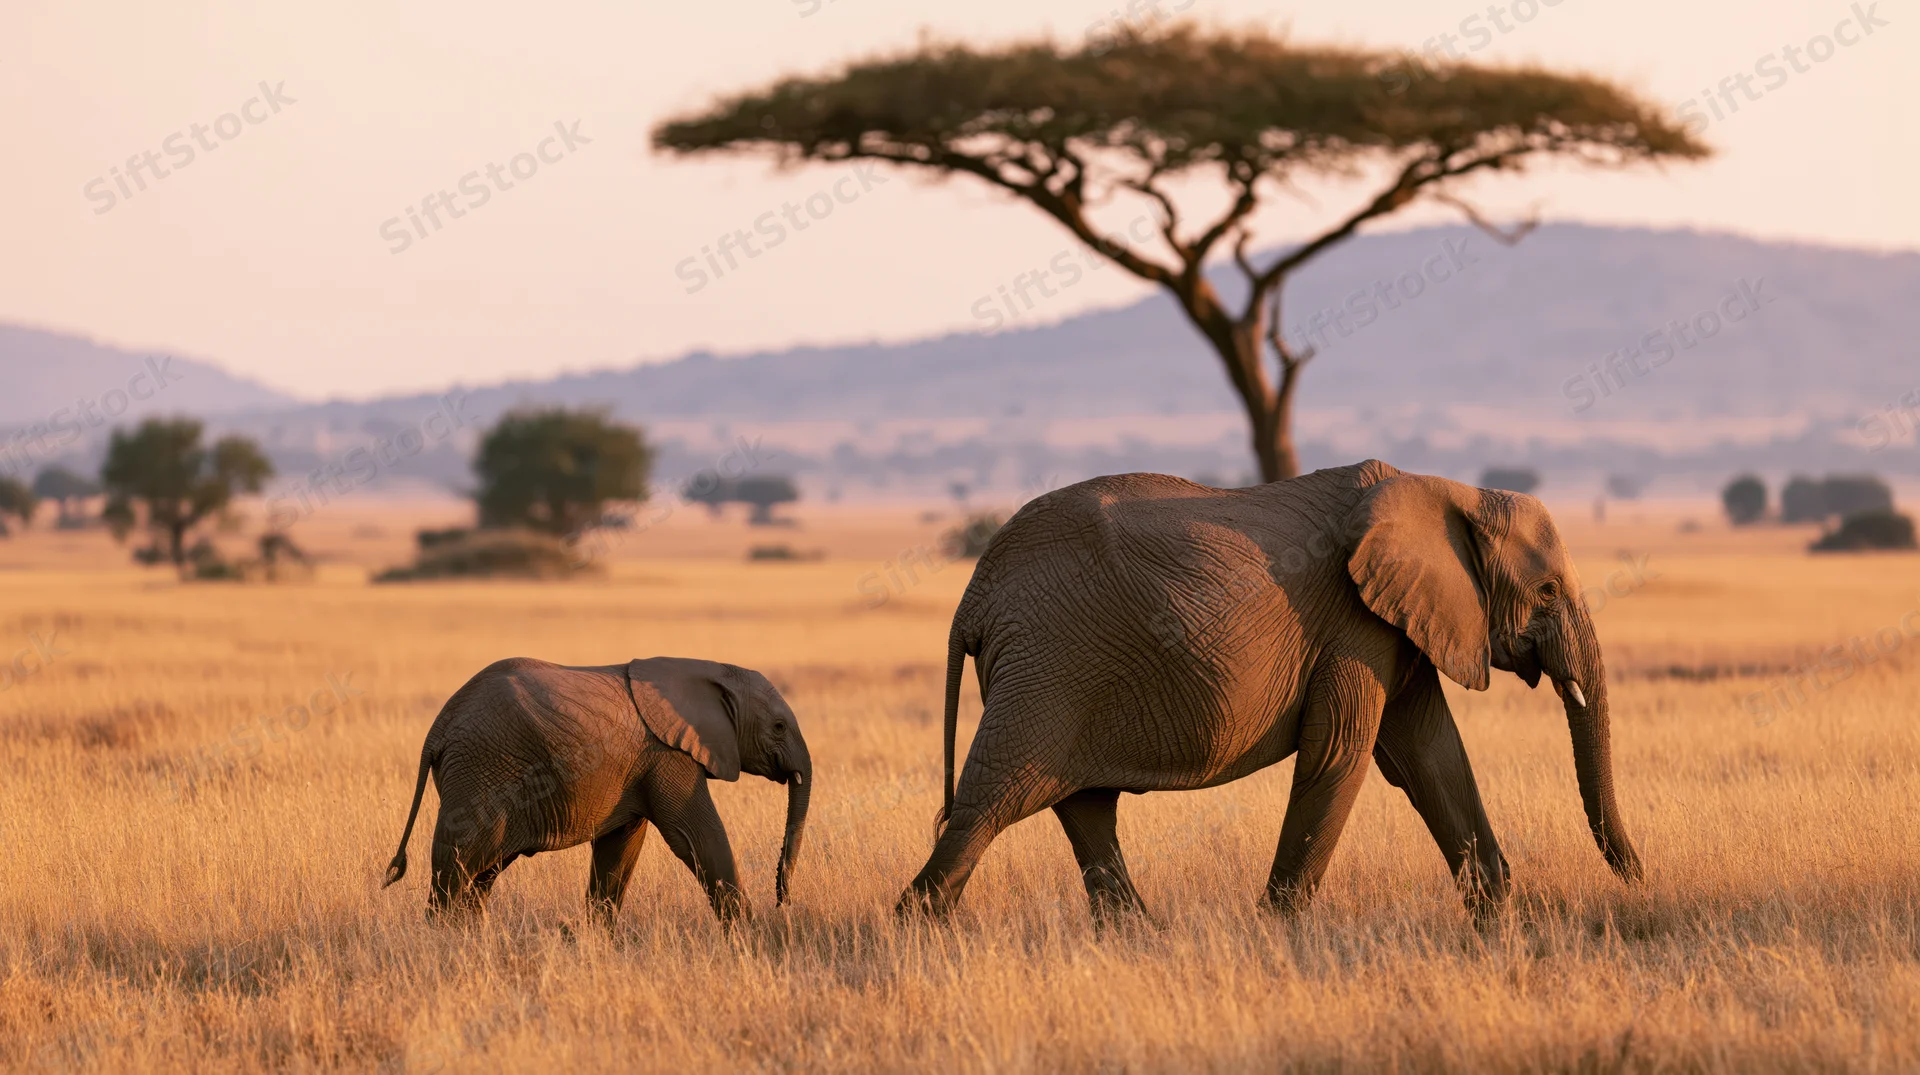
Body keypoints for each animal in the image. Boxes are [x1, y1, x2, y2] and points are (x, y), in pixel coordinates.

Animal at [382, 656, 811, 926]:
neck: (709, 668)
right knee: (458, 859)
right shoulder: (667, 755)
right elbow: (697, 836)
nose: (782, 899)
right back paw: (440, 938)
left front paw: (595, 940)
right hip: (480, 771)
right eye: (778, 727)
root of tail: (438, 728)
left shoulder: (637, 768)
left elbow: (620, 848)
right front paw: (750, 938)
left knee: (481, 872)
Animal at [899, 459, 1641, 924]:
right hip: (1045, 671)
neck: (1446, 490)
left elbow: (1434, 757)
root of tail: (974, 596)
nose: (1640, 879)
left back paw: (1141, 938)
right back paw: (916, 929)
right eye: (1547, 590)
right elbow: (1340, 755)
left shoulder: (1396, 623)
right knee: (990, 805)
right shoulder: (1354, 622)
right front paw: (1277, 929)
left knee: (1083, 808)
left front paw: (1496, 919)